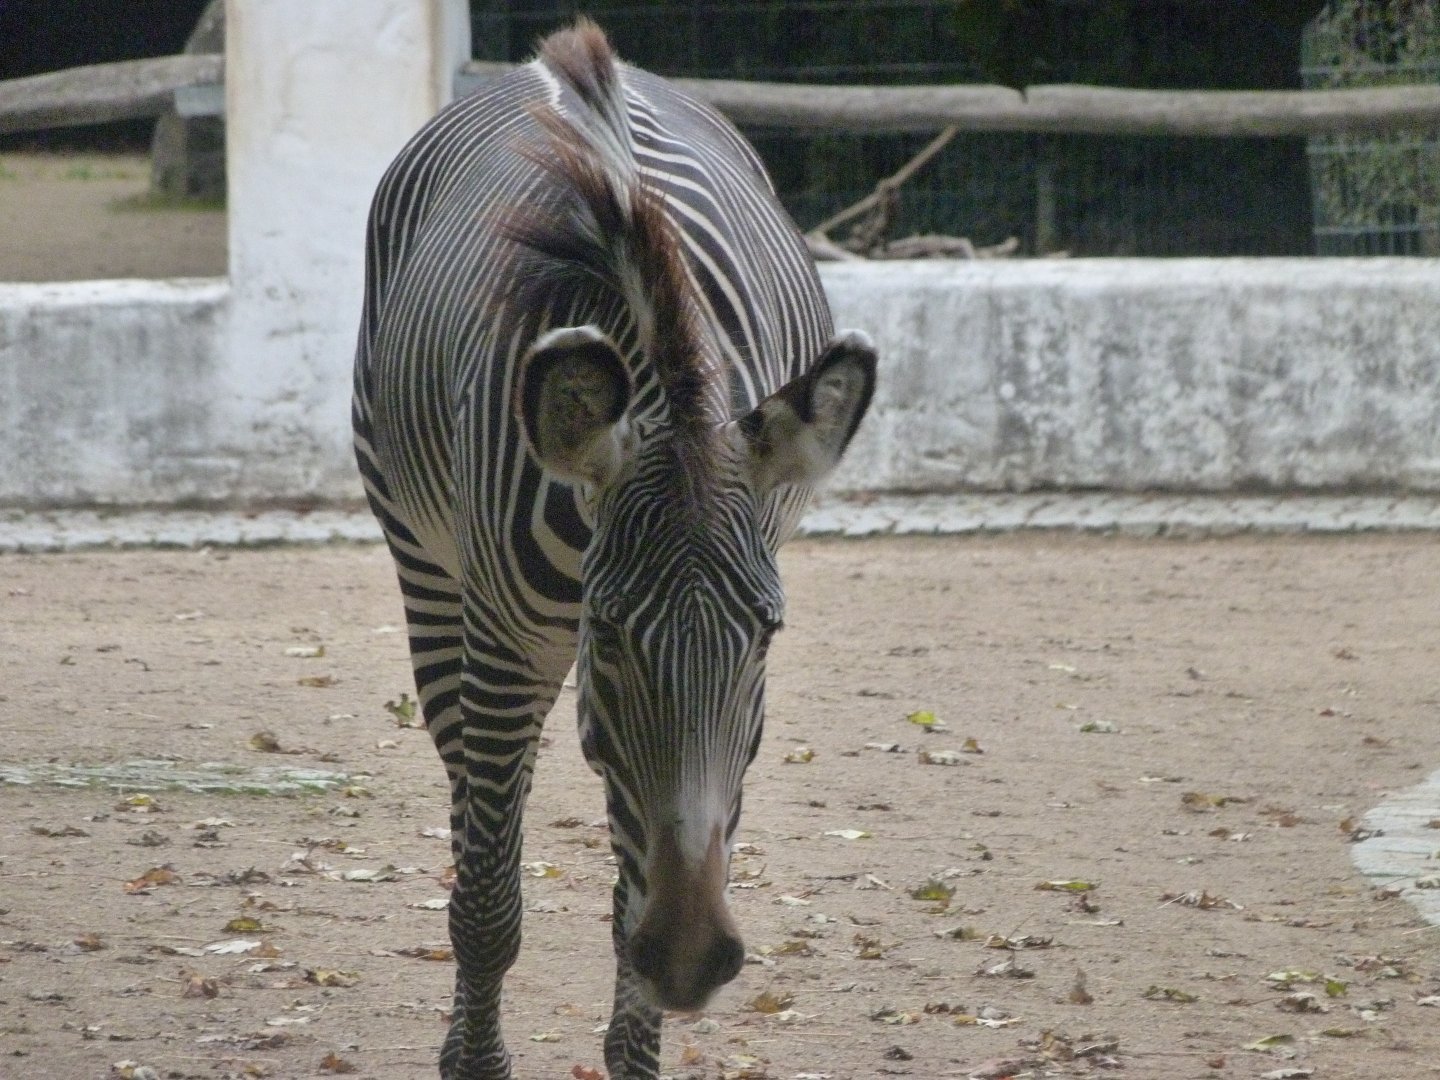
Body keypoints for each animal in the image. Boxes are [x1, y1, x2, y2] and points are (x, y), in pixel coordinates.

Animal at [353, 19, 876, 1080]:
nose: (694, 959)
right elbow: (486, 904)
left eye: (768, 636)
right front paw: (475, 1060)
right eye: (610, 633)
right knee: (472, 796)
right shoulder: (509, 648)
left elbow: (647, 876)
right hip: (429, 574)